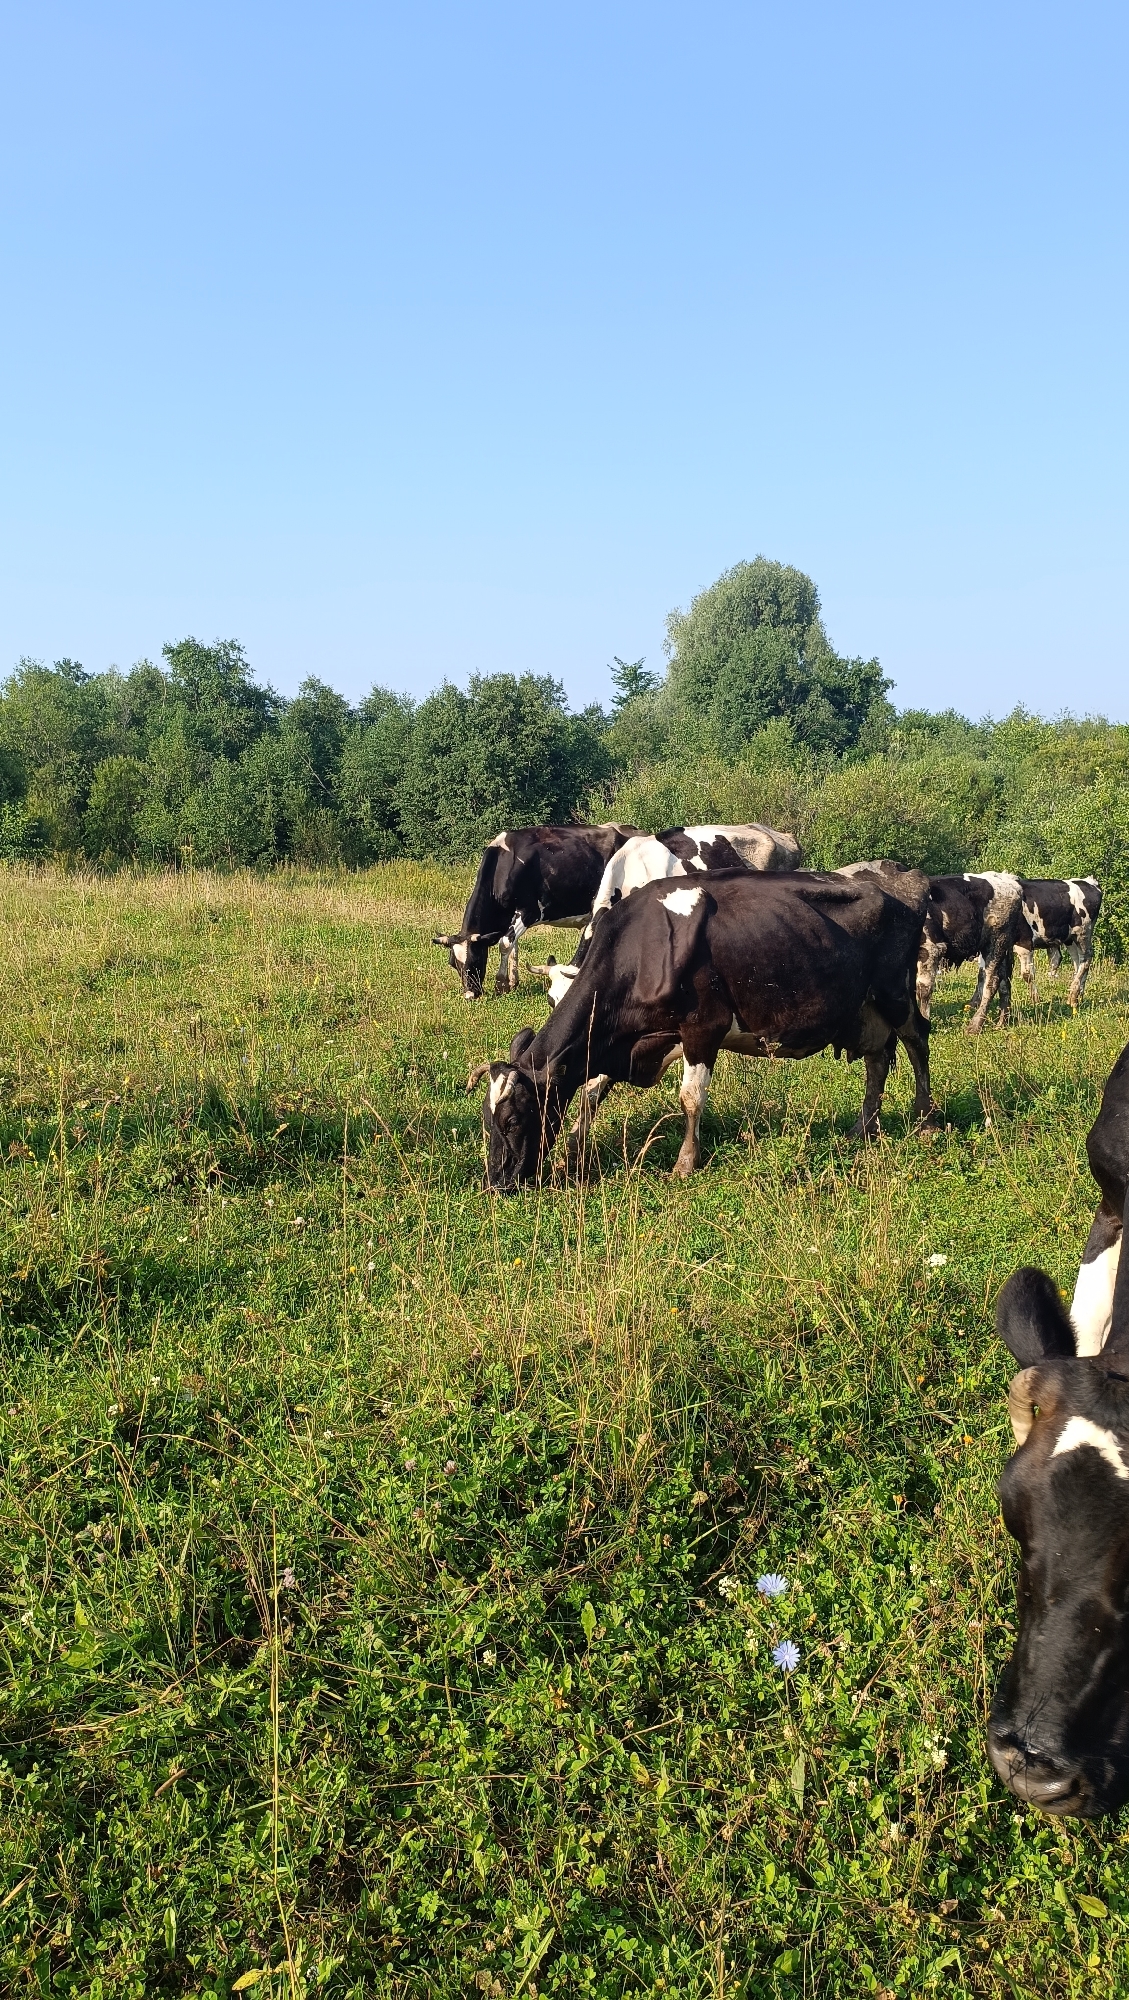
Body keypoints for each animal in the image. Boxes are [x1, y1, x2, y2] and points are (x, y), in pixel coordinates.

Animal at [432, 824, 640, 998]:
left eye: (476, 960)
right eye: (453, 964)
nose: (470, 995)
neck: (505, 864)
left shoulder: (529, 912)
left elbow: (505, 944)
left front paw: (501, 984)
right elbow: (513, 946)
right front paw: (513, 982)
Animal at [469, 867, 937, 1191]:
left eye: (514, 1118)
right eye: (486, 1121)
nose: (498, 1183)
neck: (644, 948)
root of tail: (904, 881)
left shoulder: (702, 1029)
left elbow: (690, 1099)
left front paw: (684, 1163)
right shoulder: (631, 1043)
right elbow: (590, 1093)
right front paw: (573, 1152)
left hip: (895, 992)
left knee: (917, 1040)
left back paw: (925, 1119)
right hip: (865, 1009)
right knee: (878, 1060)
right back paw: (864, 1128)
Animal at [1013, 878, 1103, 1011]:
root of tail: (1088, 881)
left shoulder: (1024, 942)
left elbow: (1027, 974)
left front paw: (1036, 1002)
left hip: (1083, 932)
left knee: (1086, 959)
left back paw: (1073, 997)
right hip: (1070, 939)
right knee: (1077, 962)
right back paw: (1079, 996)